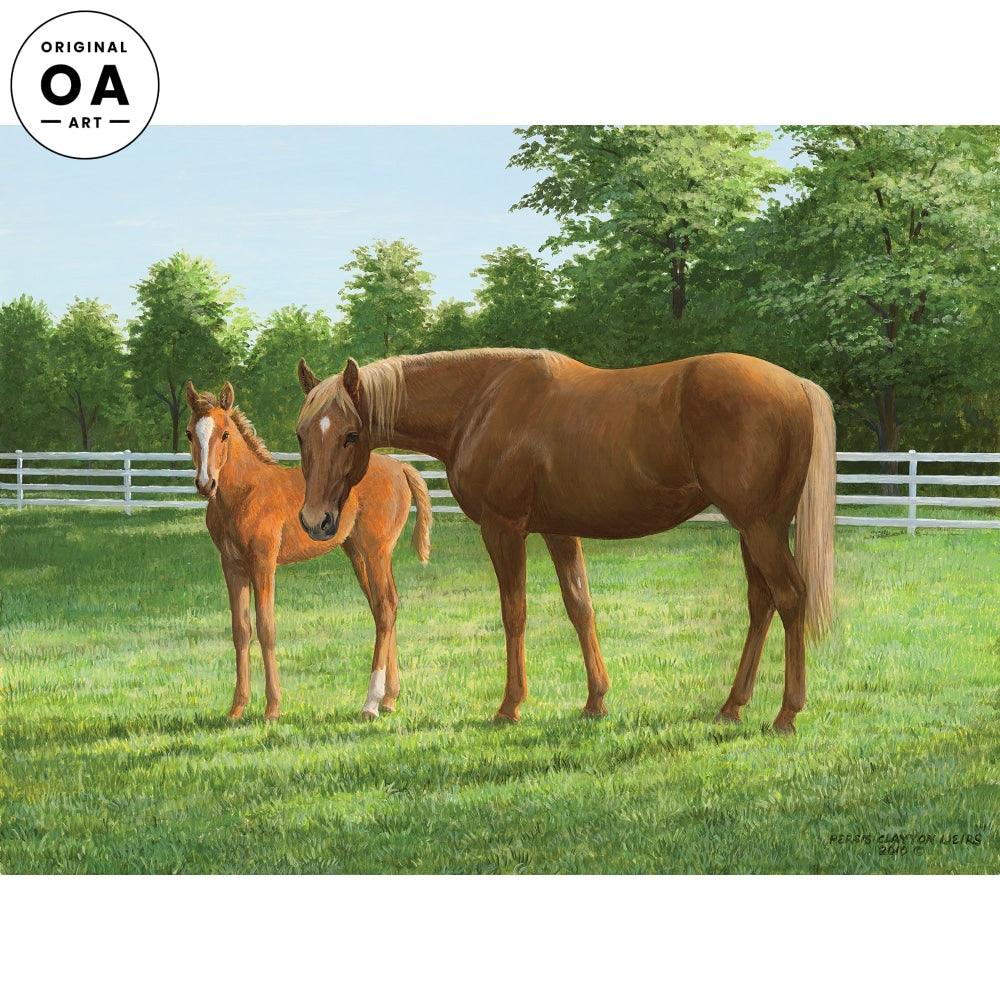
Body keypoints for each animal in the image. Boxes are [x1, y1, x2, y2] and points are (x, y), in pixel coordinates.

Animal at [184, 380, 432, 721]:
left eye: (224, 434)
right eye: (189, 434)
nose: (205, 484)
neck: (245, 493)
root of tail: (400, 466)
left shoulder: (263, 563)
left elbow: (266, 627)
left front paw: (272, 708)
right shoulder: (232, 567)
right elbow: (240, 630)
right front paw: (236, 708)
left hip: (376, 551)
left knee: (384, 608)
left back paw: (371, 704)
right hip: (357, 553)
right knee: (386, 607)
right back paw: (389, 699)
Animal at [293, 348, 835, 734]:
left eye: (350, 434)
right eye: (301, 434)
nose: (316, 521)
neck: (481, 401)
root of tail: (798, 385)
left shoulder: (504, 529)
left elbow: (514, 613)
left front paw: (510, 706)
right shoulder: (559, 530)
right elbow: (580, 607)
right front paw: (596, 701)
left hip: (760, 527)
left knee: (790, 597)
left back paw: (786, 714)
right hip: (754, 528)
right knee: (761, 603)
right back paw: (732, 707)